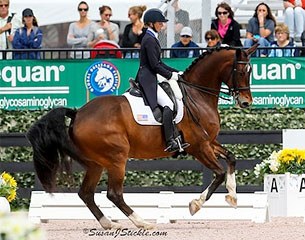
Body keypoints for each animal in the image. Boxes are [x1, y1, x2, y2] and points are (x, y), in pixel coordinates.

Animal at [27, 44, 258, 230]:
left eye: (250, 71)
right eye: (240, 71)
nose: (246, 102)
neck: (196, 95)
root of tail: (77, 114)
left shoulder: (209, 142)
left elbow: (231, 158)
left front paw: (232, 196)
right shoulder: (199, 146)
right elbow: (218, 173)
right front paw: (195, 205)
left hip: (97, 163)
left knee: (86, 193)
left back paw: (110, 224)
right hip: (117, 158)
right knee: (113, 194)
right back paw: (142, 222)